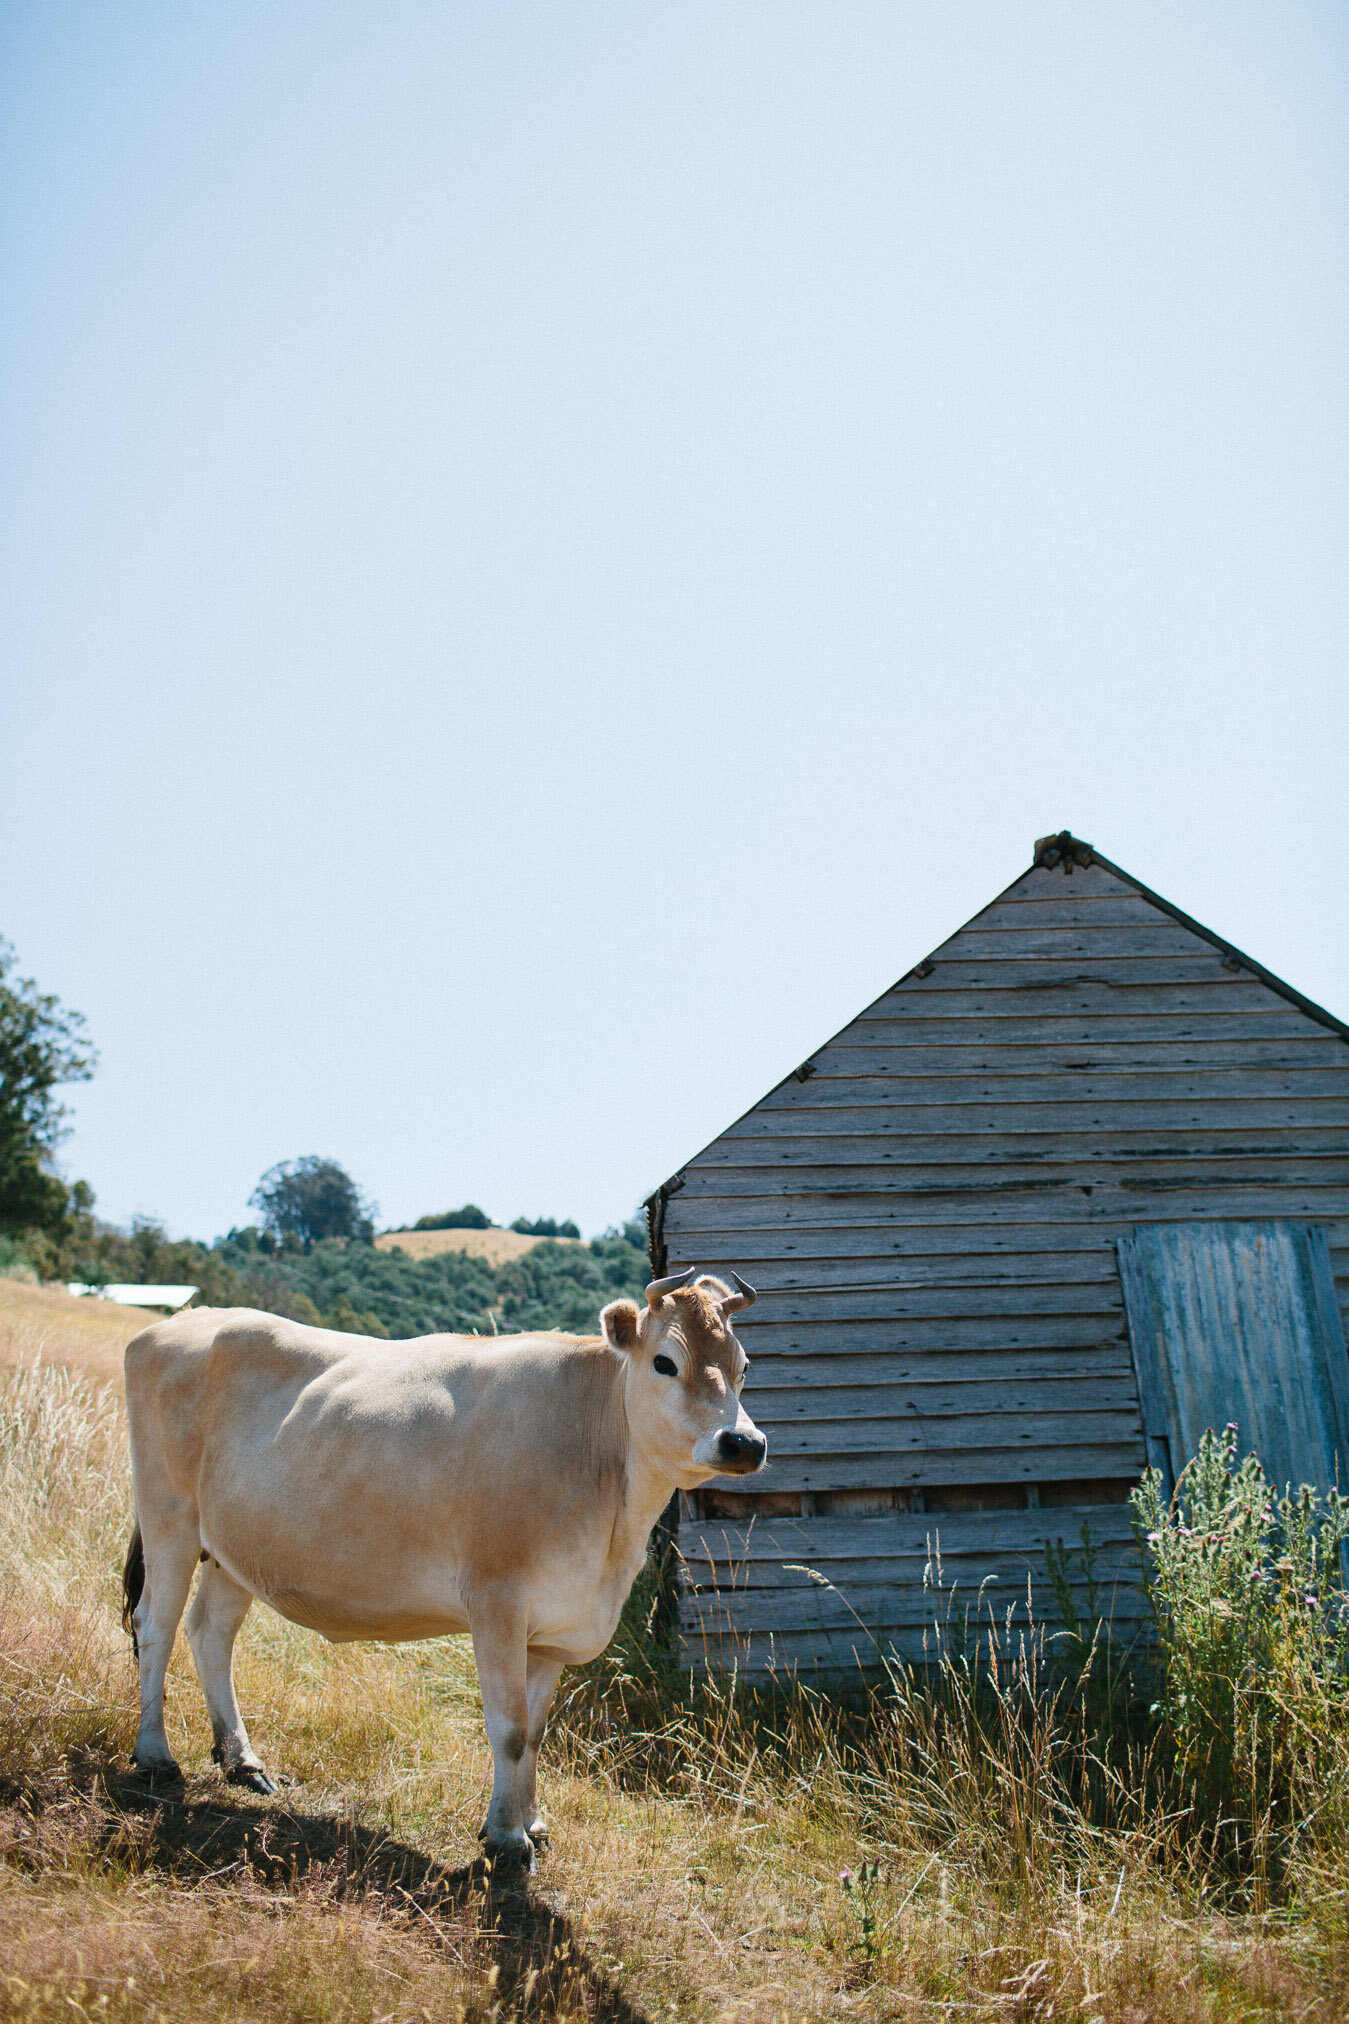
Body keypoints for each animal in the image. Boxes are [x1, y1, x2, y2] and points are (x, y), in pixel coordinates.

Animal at [121, 1262, 764, 1862]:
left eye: (743, 1367)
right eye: (664, 1362)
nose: (744, 1442)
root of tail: (181, 1322)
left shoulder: (557, 1626)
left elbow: (536, 1732)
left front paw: (532, 1821)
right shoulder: (497, 1602)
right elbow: (509, 1730)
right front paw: (506, 1838)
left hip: (237, 1548)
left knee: (211, 1633)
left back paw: (241, 1760)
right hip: (168, 1514)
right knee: (155, 1625)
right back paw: (154, 1756)